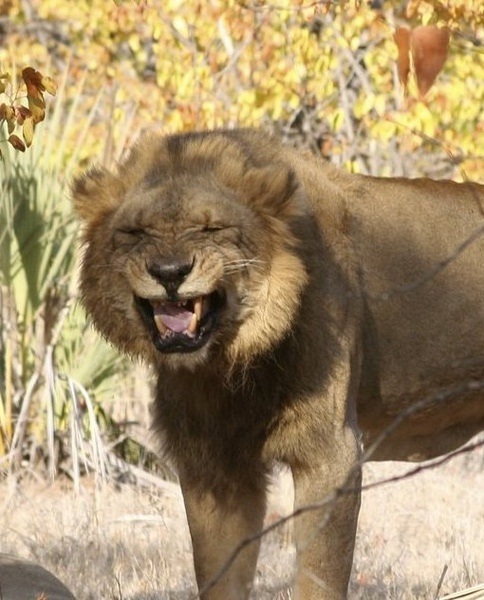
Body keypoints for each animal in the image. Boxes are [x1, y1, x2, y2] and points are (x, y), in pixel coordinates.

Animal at [72, 131, 484, 600]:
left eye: (212, 229)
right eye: (135, 232)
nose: (170, 272)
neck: (228, 365)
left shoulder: (331, 452)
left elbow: (319, 578)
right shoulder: (211, 464)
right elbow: (219, 576)